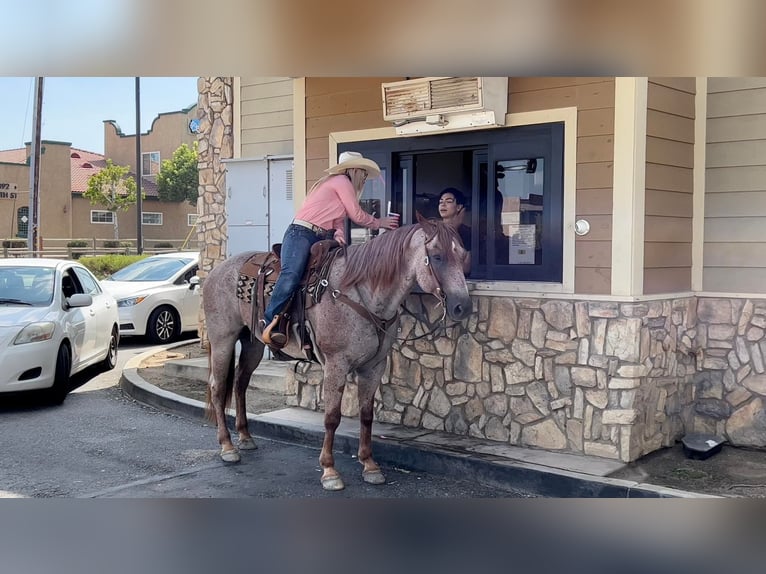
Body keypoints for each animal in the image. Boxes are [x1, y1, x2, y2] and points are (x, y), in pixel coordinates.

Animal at [202, 214, 474, 492]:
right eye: (437, 256)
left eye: (463, 254)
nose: (462, 306)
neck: (361, 293)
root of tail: (216, 271)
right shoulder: (336, 364)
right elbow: (332, 417)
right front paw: (330, 471)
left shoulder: (374, 366)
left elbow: (366, 415)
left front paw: (370, 465)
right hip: (223, 339)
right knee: (218, 387)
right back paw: (228, 447)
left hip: (253, 344)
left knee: (240, 384)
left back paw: (245, 437)